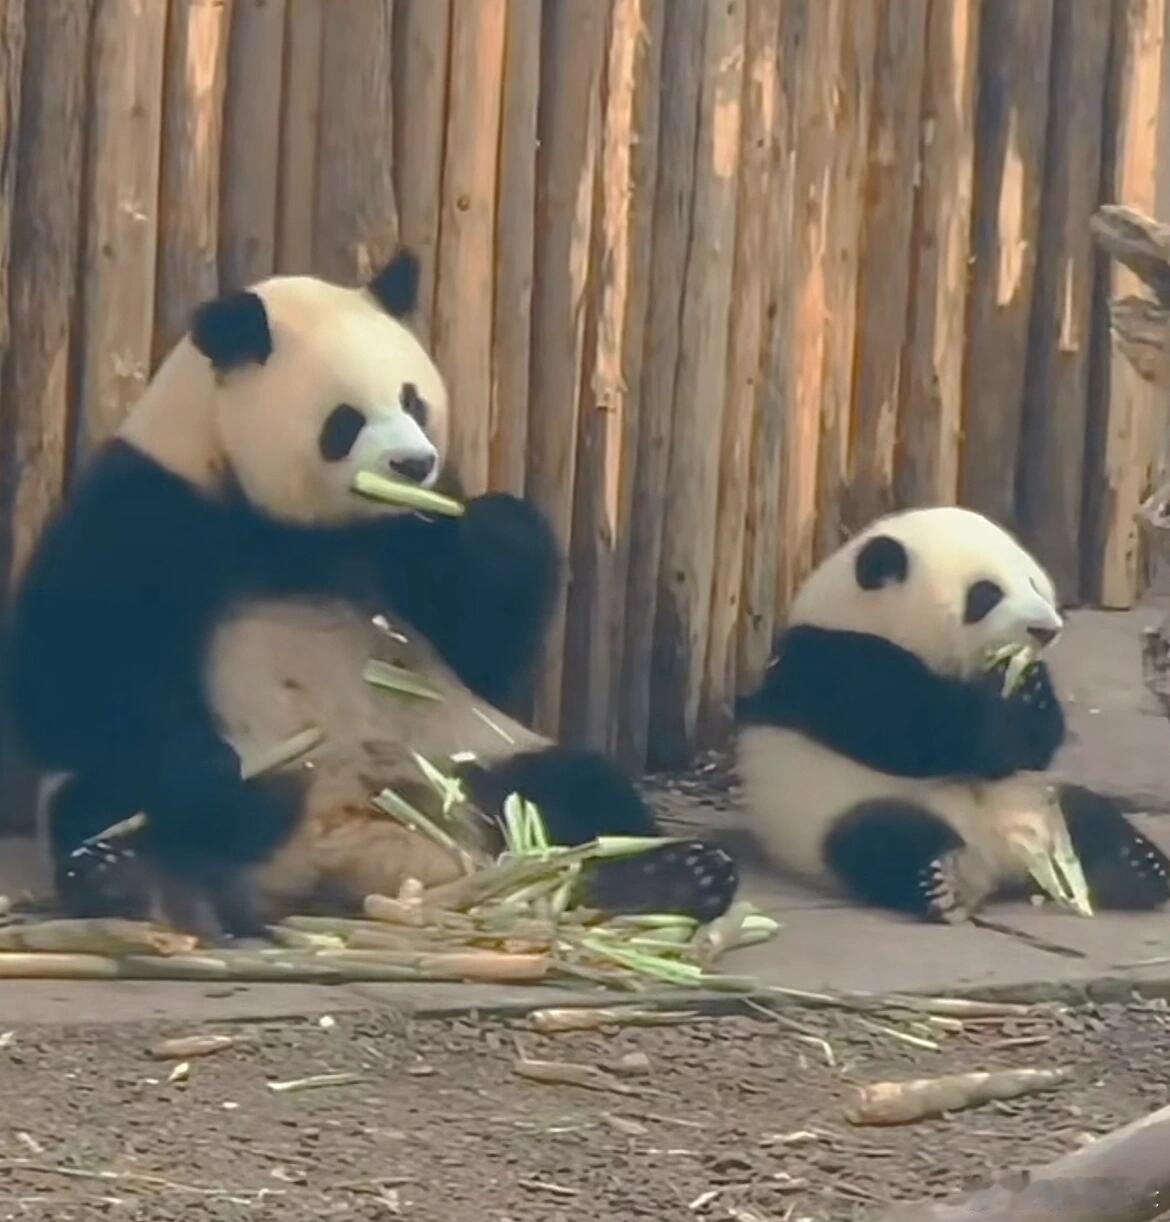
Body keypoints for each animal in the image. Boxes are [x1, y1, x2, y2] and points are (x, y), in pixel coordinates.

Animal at [6, 245, 738, 933]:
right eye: (346, 420)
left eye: (413, 399)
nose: (413, 463)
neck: (299, 531)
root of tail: (353, 856)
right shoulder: (152, 505)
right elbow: (72, 671)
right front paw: (199, 768)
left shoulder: (408, 542)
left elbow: (484, 641)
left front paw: (497, 528)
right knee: (116, 801)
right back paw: (129, 875)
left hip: (468, 758)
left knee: (578, 792)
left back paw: (675, 877)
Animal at [733, 501, 1168, 918]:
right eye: (986, 594)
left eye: (1033, 584)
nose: (1046, 630)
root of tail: (998, 863)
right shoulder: (835, 661)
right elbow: (918, 737)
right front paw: (1014, 695)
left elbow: (1028, 751)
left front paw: (1030, 687)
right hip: (829, 810)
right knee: (878, 839)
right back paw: (943, 879)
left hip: (1038, 801)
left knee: (1088, 814)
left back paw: (1140, 867)